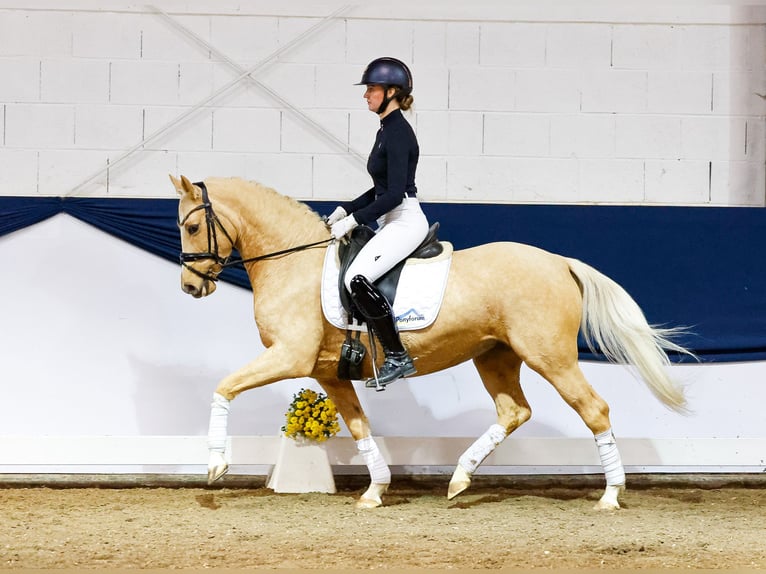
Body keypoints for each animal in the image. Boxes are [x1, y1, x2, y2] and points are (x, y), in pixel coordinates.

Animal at [176, 177, 696, 512]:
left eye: (192, 227)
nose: (190, 287)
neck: (292, 262)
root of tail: (558, 261)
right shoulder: (328, 372)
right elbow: (360, 427)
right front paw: (375, 491)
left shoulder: (288, 356)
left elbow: (223, 387)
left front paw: (216, 465)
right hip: (495, 356)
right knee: (514, 411)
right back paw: (460, 478)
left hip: (550, 356)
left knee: (594, 409)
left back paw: (610, 495)